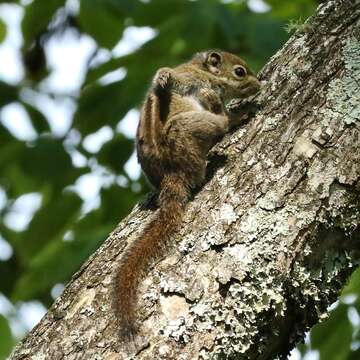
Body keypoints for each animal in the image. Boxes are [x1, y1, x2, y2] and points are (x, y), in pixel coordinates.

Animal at [114, 50, 258, 340]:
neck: (202, 71)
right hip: (189, 128)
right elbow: (169, 79)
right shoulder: (189, 80)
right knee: (219, 125)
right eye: (240, 72)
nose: (258, 85)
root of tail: (173, 175)